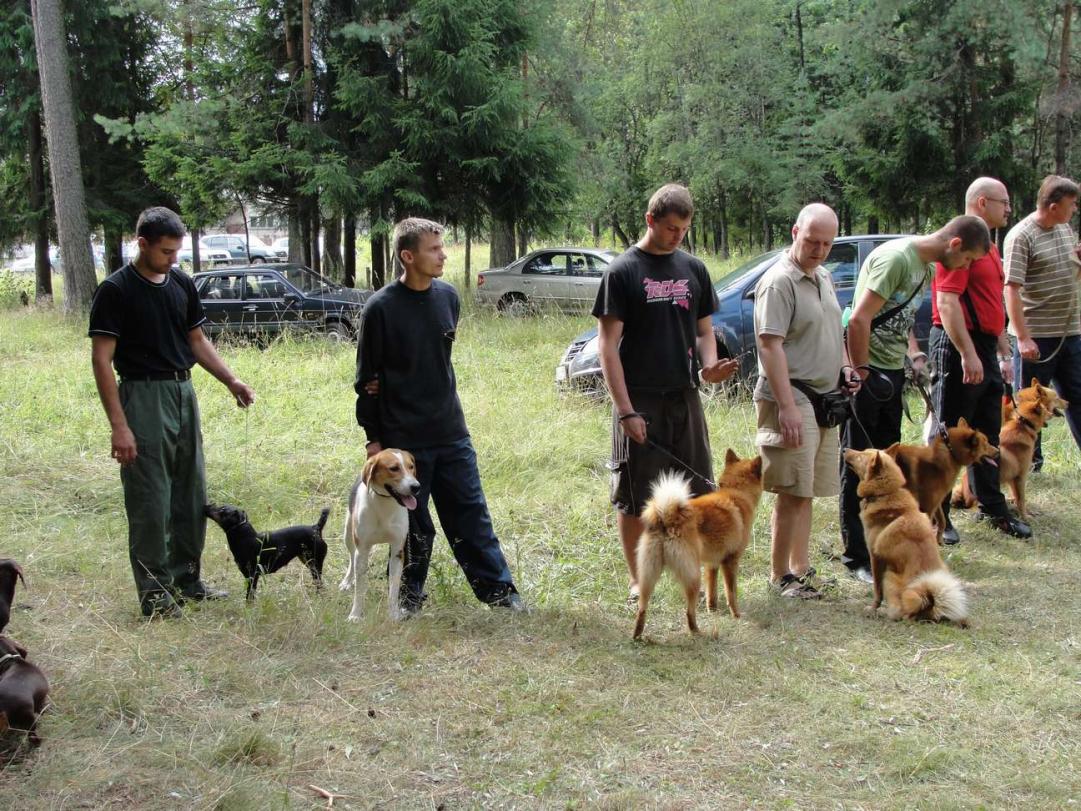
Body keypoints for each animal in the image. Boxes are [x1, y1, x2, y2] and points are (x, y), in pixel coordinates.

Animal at [340, 449, 420, 622]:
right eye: (394, 468)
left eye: (411, 466)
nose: (416, 487)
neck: (385, 504)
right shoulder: (362, 550)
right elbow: (359, 589)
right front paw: (355, 615)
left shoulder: (397, 551)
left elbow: (394, 588)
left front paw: (394, 614)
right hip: (348, 535)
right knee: (351, 557)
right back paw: (347, 581)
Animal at [632, 449, 763, 641]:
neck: (735, 492)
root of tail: (668, 517)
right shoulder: (730, 561)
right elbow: (731, 593)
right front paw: (736, 615)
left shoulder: (712, 563)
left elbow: (712, 591)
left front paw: (713, 609)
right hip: (693, 576)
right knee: (689, 612)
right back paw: (698, 632)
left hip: (648, 577)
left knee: (642, 608)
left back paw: (637, 634)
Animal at [844, 448, 969, 626]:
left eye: (861, 455)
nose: (844, 449)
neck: (886, 493)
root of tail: (928, 603)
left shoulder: (875, 557)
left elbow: (877, 591)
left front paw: (873, 608)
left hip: (890, 576)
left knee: (904, 614)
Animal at [953, 380, 1069, 513]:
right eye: (1057, 397)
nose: (1068, 403)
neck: (1022, 423)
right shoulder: (1020, 475)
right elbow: (1021, 498)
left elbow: (1015, 493)